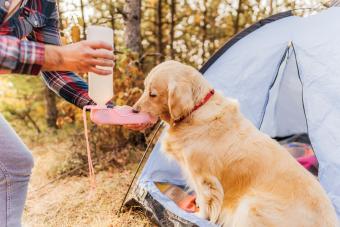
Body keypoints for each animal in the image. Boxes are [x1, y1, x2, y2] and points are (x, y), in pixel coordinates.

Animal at [132, 60, 338, 227]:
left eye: (153, 94)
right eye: (145, 88)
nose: (133, 110)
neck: (197, 109)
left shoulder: (204, 178)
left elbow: (205, 203)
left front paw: (197, 217)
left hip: (250, 205)